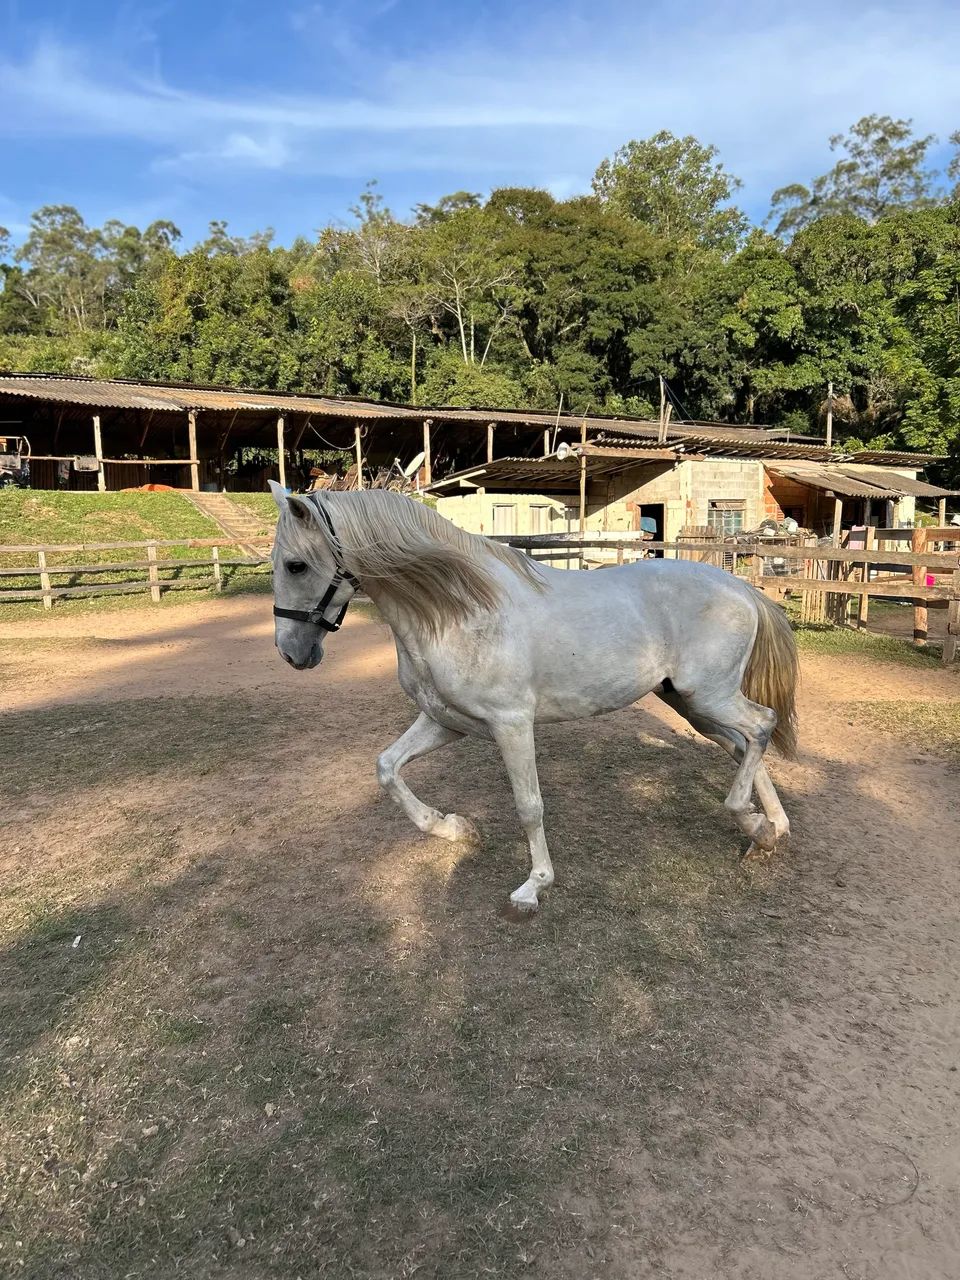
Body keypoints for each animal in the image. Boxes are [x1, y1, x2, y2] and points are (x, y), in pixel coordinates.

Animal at [268, 482, 798, 911]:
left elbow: (529, 805)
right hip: (690, 705)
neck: (459, 613)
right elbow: (387, 768)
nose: (292, 653)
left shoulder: (511, 724)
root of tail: (741, 589)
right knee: (742, 744)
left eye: (296, 565)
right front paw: (456, 829)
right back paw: (768, 830)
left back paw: (751, 822)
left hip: (710, 697)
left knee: (762, 725)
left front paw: (534, 885)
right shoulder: (446, 722)